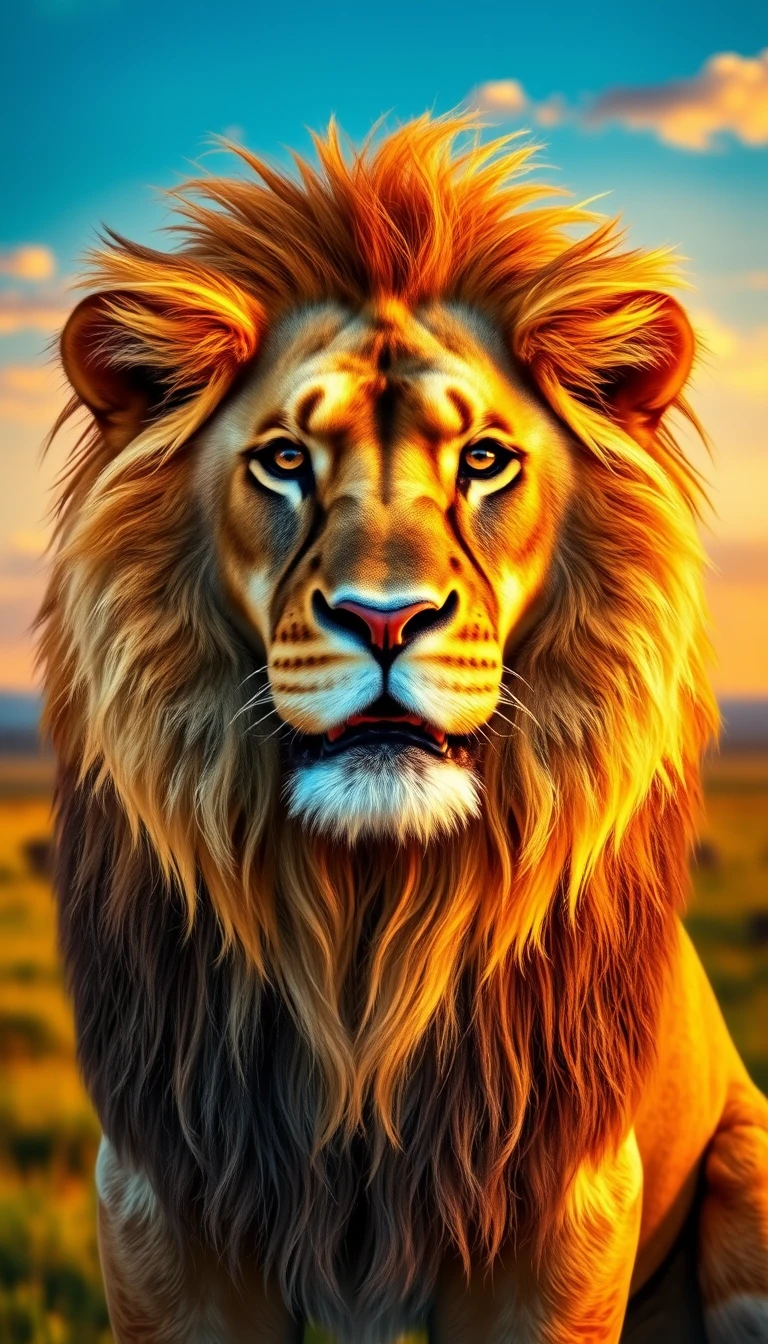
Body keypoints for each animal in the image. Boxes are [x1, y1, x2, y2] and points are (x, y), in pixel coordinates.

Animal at [37, 114, 768, 1343]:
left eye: (484, 460)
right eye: (286, 459)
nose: (385, 618)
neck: (367, 919)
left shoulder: (557, 1207)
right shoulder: (163, 1201)